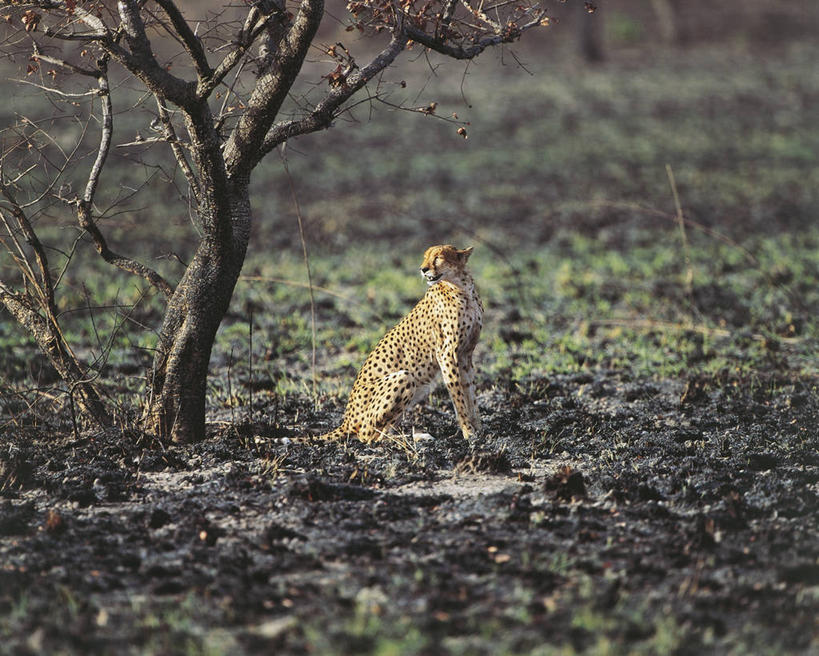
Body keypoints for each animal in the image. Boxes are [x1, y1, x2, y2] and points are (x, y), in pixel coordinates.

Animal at [318, 247, 486, 446]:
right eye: (425, 257)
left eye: (438, 257)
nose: (422, 269)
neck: (462, 287)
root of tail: (346, 420)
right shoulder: (446, 354)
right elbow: (458, 396)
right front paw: (468, 431)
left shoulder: (465, 354)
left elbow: (470, 393)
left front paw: (478, 428)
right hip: (405, 377)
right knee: (369, 436)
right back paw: (412, 438)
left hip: (420, 386)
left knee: (381, 432)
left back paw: (417, 436)